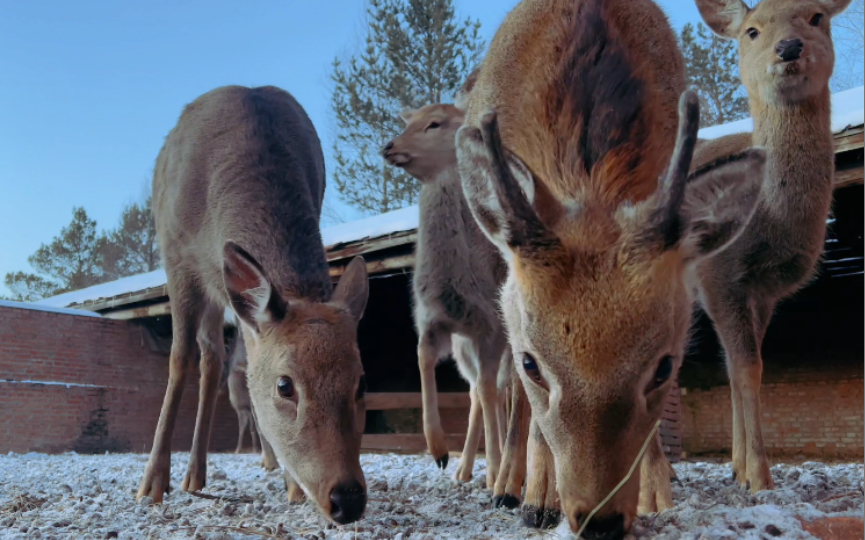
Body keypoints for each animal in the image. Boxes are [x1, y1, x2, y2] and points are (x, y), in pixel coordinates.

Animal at [138, 85, 372, 528]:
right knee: (206, 355)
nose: (348, 498)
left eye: (361, 383)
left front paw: (293, 485)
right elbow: (178, 360)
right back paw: (191, 476)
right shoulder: (177, 258)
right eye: (285, 385)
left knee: (217, 356)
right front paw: (151, 484)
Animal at [378, 98, 512, 490]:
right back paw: (464, 469)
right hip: (463, 351)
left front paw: (494, 474)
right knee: (476, 392)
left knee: (502, 390)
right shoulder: (431, 322)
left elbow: (490, 389)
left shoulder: (491, 328)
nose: (389, 146)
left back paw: (502, 469)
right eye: (408, 122)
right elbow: (423, 360)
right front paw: (438, 451)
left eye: (434, 123)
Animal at [456, 0, 768, 536]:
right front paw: (539, 498)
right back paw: (508, 486)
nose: (599, 519)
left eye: (664, 365)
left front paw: (655, 491)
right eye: (533, 363)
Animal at [688, 0, 856, 494]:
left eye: (816, 16)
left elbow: (743, 368)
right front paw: (760, 477)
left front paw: (739, 468)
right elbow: (746, 367)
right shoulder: (717, 274)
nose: (789, 46)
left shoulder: (764, 291)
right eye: (752, 30)